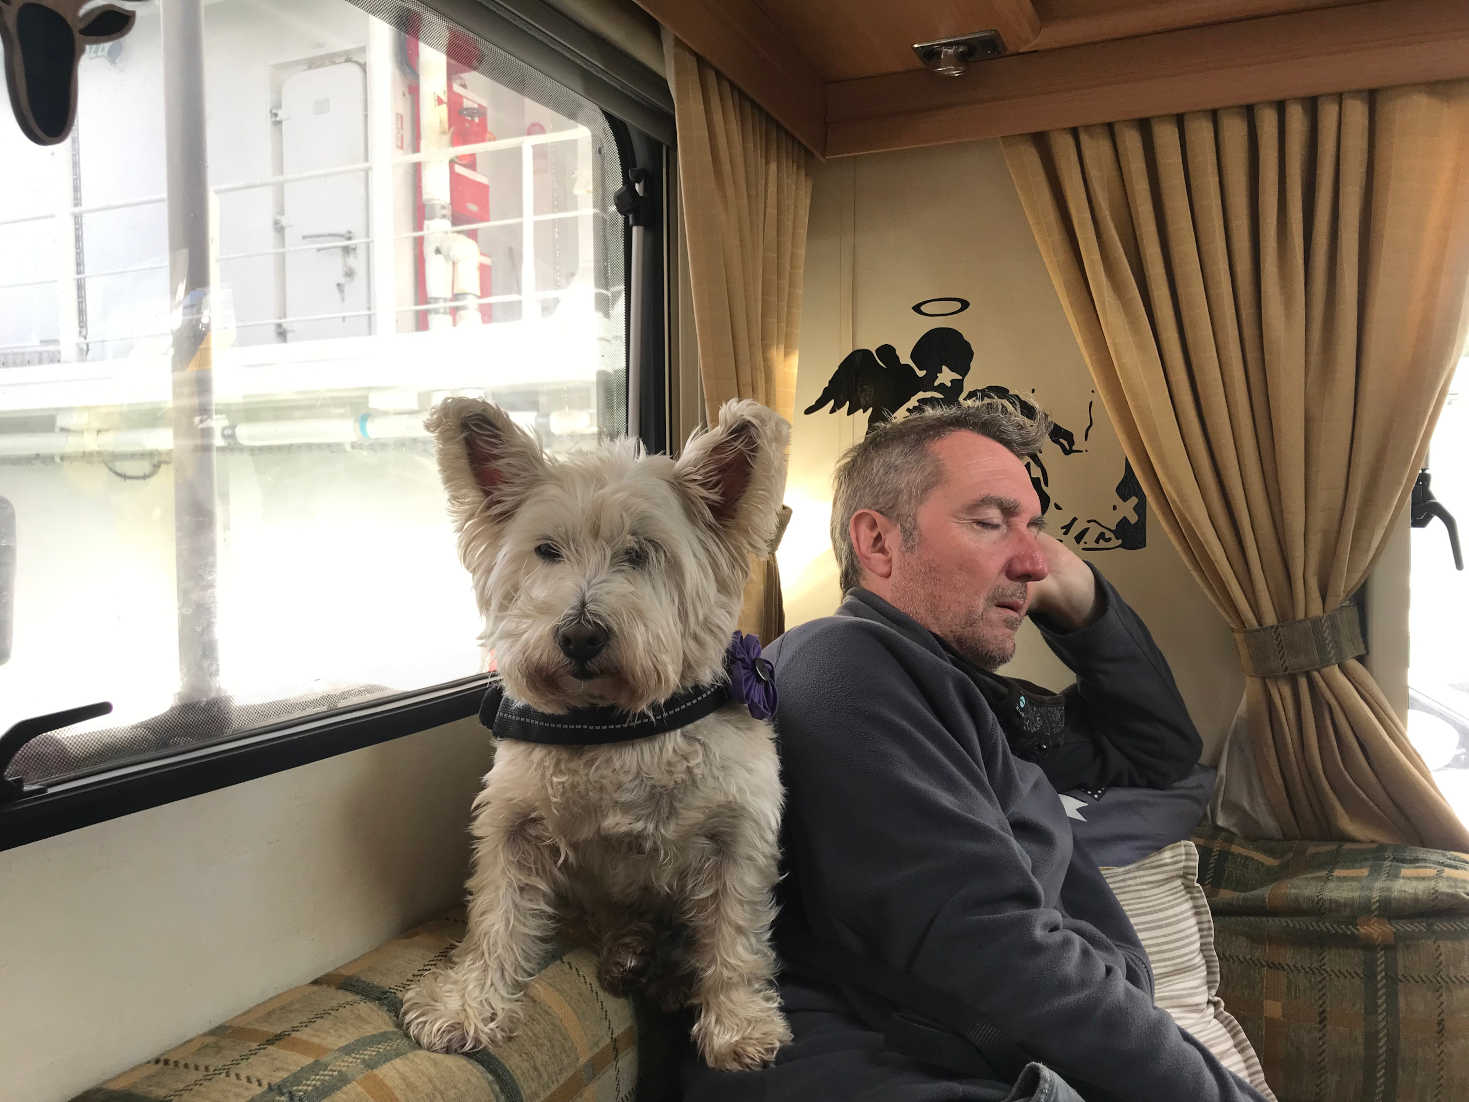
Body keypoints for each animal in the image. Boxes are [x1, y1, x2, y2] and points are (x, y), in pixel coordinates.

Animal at [399, 393, 793, 1069]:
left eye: (640, 551)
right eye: (547, 551)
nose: (579, 636)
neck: (611, 727)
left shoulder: (737, 834)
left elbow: (733, 933)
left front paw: (739, 1024)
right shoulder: (514, 824)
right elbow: (496, 914)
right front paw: (468, 1006)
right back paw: (627, 954)